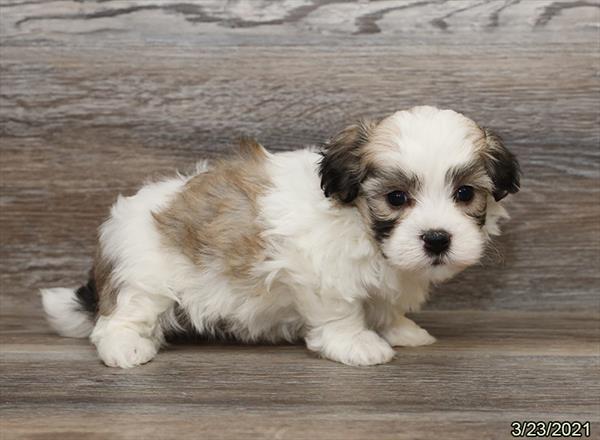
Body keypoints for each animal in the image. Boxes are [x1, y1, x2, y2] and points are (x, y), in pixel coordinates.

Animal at [42, 105, 520, 368]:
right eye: (396, 198)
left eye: (465, 194)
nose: (437, 239)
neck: (359, 223)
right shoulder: (320, 271)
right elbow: (340, 312)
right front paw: (357, 344)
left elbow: (383, 303)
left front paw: (398, 329)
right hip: (144, 279)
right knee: (119, 320)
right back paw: (125, 349)